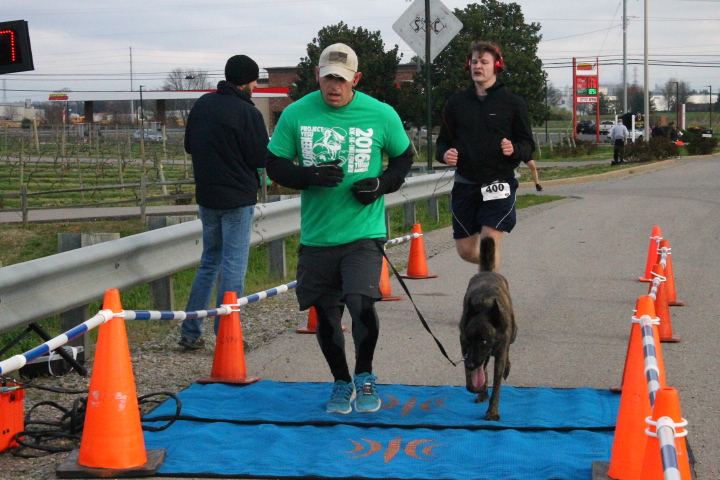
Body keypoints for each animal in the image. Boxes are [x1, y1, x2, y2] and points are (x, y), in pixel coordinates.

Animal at [462, 236, 516, 420]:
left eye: (484, 341)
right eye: (468, 341)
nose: (470, 364)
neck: (483, 306)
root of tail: (488, 272)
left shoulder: (498, 353)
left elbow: (497, 386)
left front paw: (492, 412)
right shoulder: (465, 349)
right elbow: (471, 380)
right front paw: (479, 389)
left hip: (512, 333)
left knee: (508, 350)